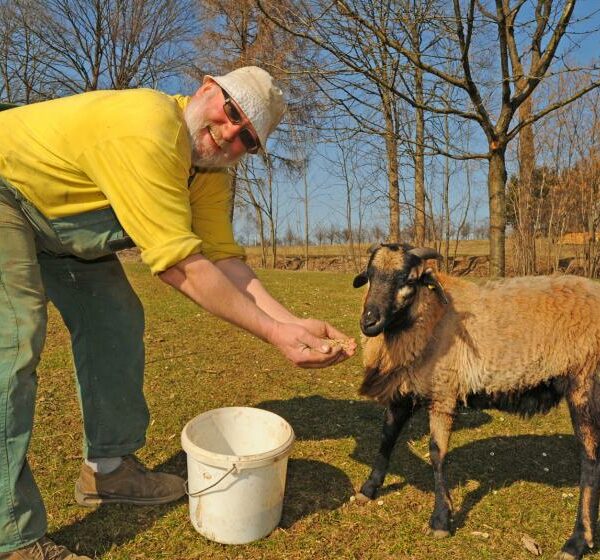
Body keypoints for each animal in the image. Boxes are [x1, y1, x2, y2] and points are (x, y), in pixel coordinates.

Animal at [354, 243, 600, 560]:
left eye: (408, 280)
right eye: (370, 275)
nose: (369, 322)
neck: (433, 316)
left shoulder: (443, 390)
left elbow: (436, 453)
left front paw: (441, 519)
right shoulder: (406, 390)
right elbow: (387, 437)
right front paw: (369, 488)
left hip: (584, 382)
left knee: (590, 460)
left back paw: (577, 541)